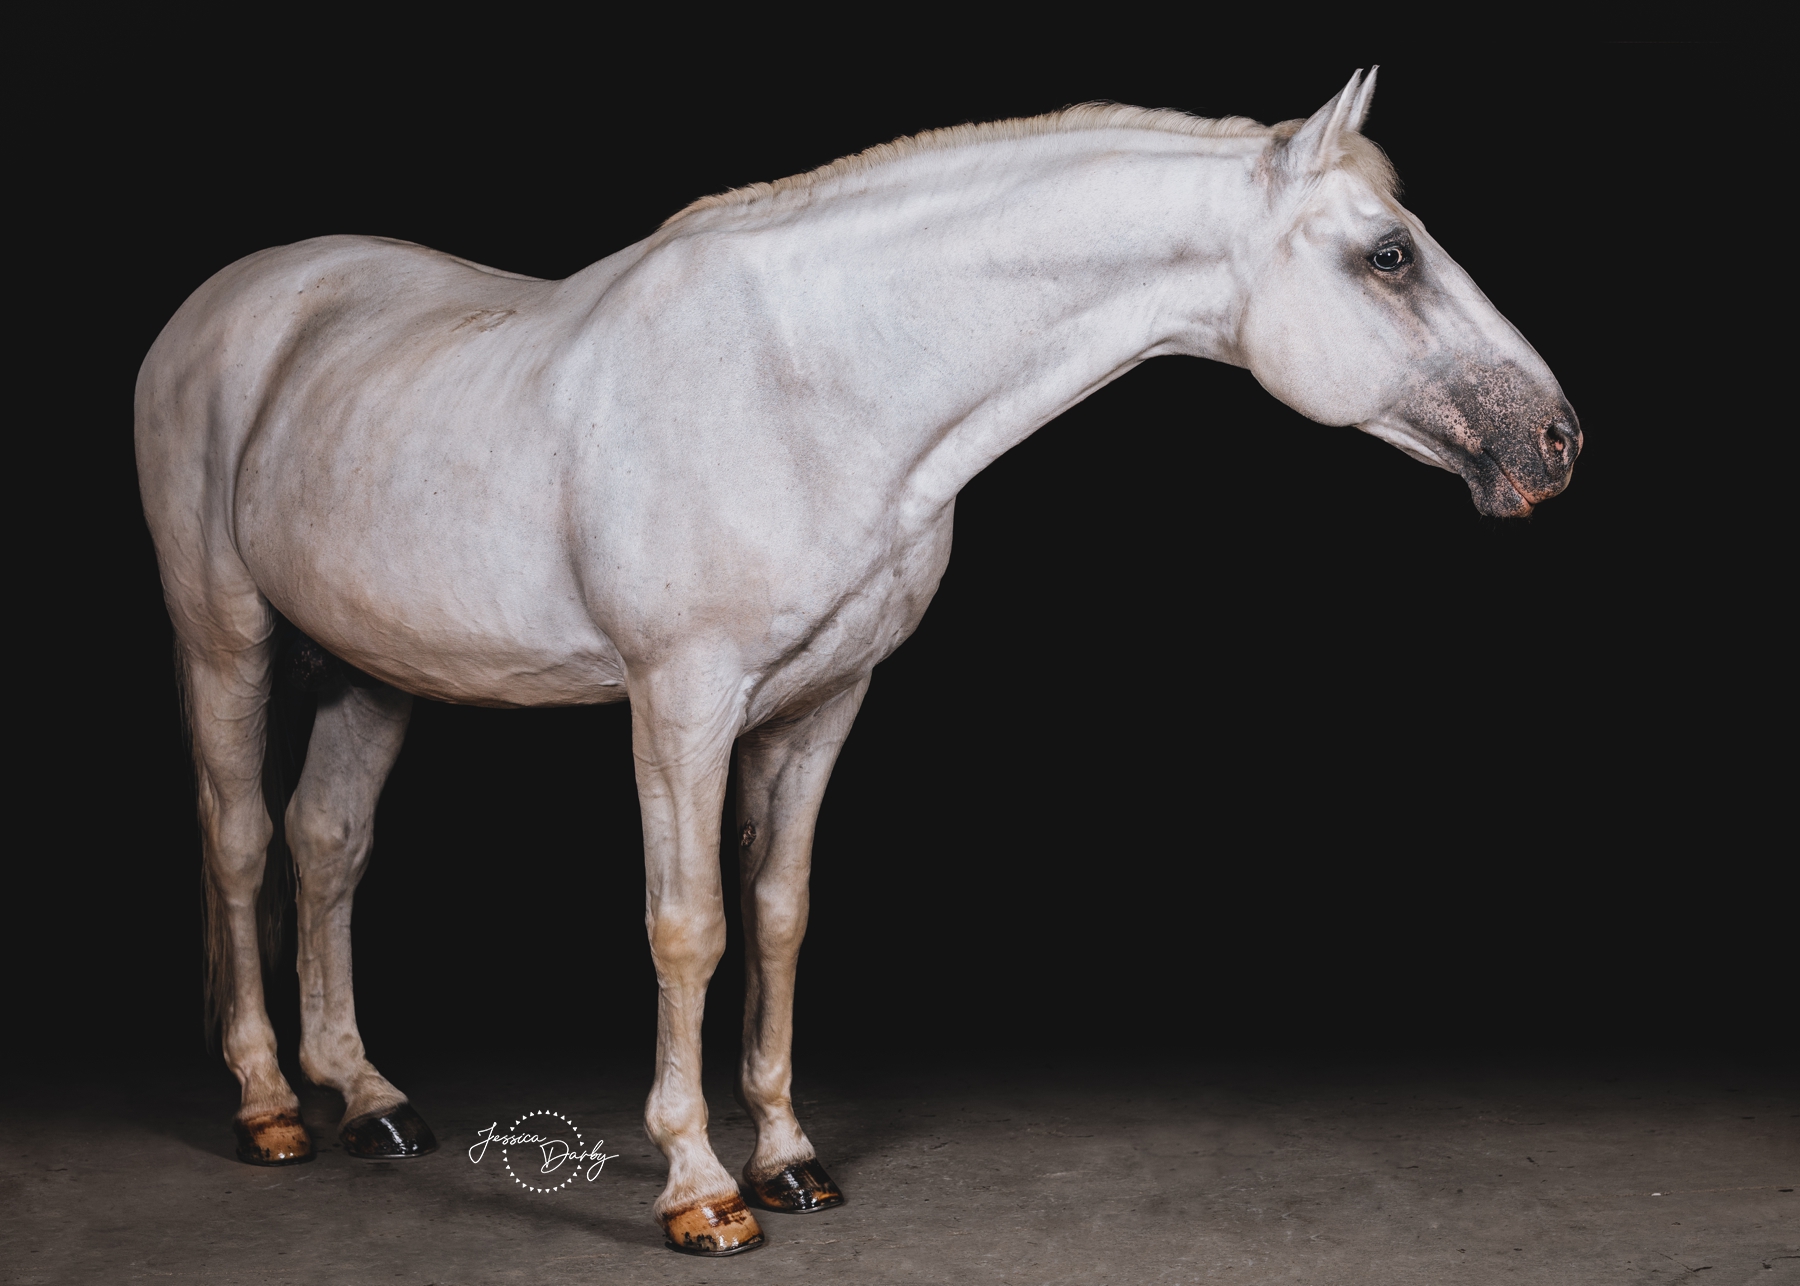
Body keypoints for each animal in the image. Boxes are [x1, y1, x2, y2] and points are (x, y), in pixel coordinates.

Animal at [135, 69, 1579, 1256]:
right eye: (1389, 253)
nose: (1560, 441)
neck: (807, 380)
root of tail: (229, 301)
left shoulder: (825, 704)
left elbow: (779, 913)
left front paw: (788, 1157)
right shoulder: (681, 702)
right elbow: (688, 924)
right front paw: (699, 1188)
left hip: (374, 668)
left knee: (328, 846)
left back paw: (369, 1097)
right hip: (226, 635)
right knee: (245, 839)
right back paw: (271, 1104)